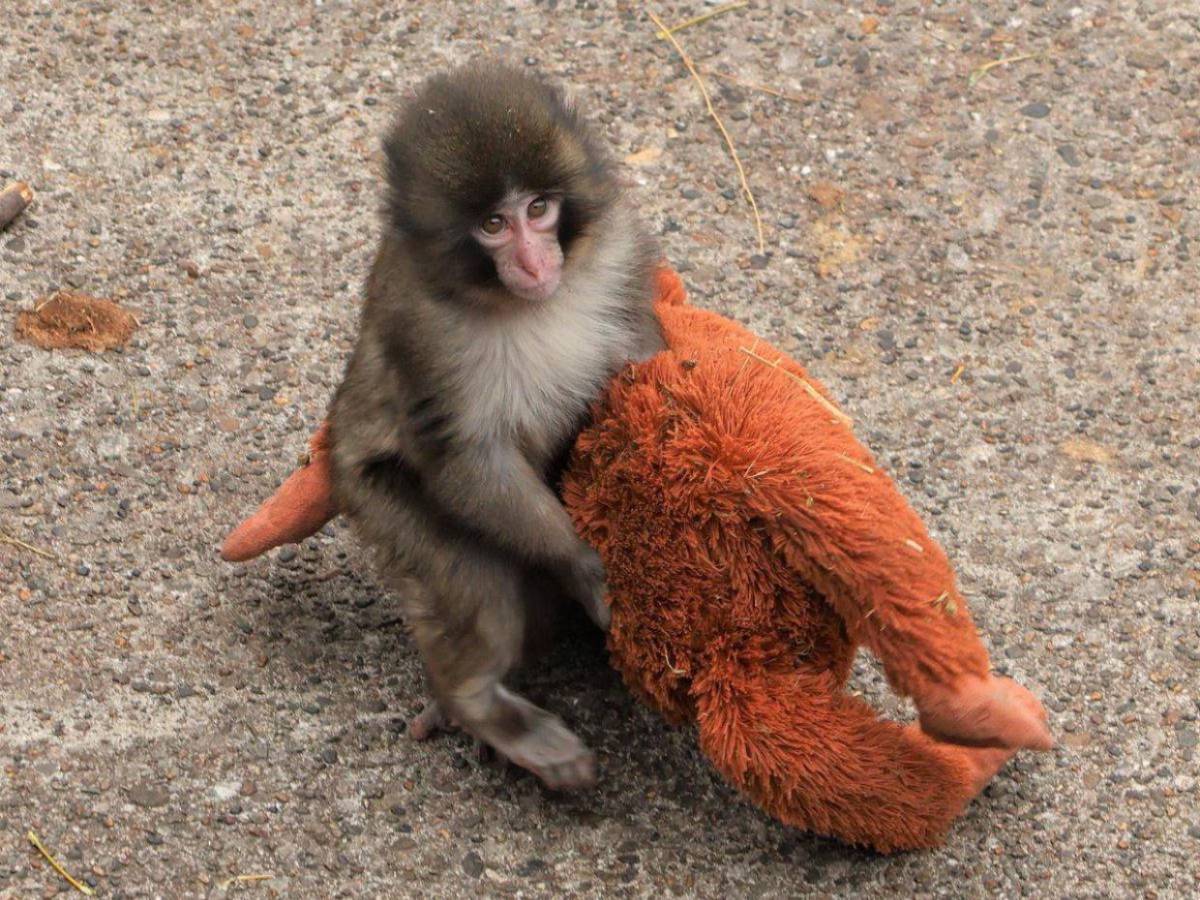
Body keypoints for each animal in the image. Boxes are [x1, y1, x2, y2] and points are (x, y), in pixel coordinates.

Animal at [327, 62, 664, 790]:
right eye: (492, 224)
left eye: (538, 210)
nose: (535, 264)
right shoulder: (422, 327)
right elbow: (465, 458)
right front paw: (584, 566)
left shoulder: (619, 252)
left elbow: (643, 356)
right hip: (373, 497)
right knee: (479, 584)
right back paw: (478, 705)